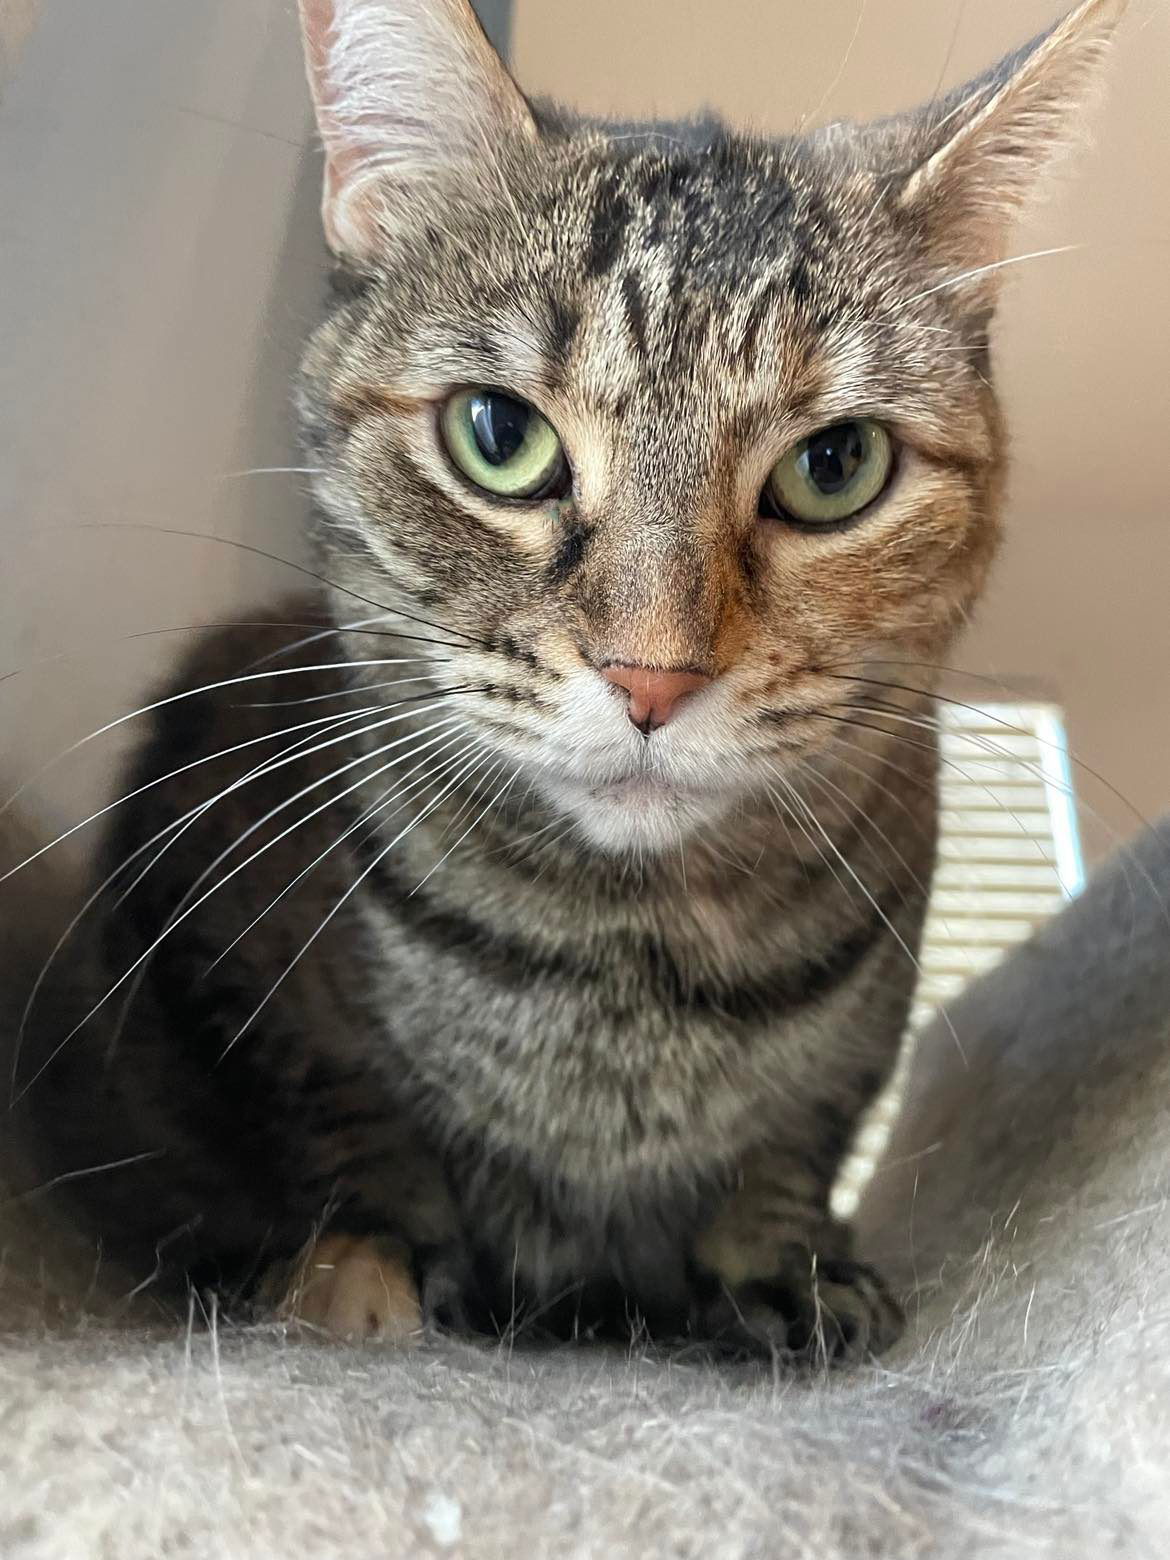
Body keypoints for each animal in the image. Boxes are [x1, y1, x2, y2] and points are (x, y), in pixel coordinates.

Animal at [20, 0, 1129, 1360]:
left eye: (836, 466)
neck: (626, 976)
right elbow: (335, 1111)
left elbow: (797, 1141)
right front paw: (357, 1268)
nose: (652, 678)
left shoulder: (855, 1040)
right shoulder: (206, 896)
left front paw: (786, 1271)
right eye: (500, 437)